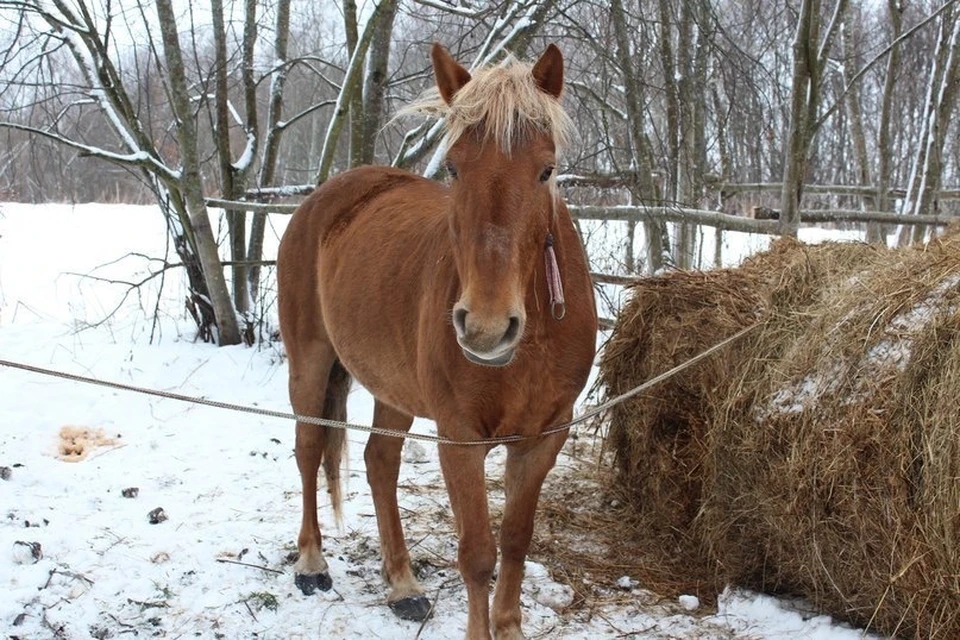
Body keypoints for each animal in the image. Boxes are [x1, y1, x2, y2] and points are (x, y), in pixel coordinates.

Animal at [274, 42, 596, 636]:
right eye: (453, 167)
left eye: (546, 170)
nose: (486, 327)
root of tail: (325, 198)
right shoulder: (459, 439)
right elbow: (477, 555)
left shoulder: (544, 437)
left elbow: (515, 541)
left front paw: (509, 625)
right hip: (309, 362)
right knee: (308, 450)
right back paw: (311, 562)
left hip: (392, 387)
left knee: (380, 463)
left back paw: (403, 585)